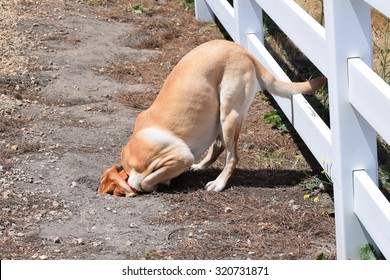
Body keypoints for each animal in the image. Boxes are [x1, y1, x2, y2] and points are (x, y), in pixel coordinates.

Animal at [98, 39, 326, 197]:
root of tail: (243, 50)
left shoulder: (179, 156)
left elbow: (144, 181)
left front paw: (154, 185)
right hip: (219, 116)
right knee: (218, 146)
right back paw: (200, 166)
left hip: (229, 113)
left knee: (232, 156)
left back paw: (218, 183)